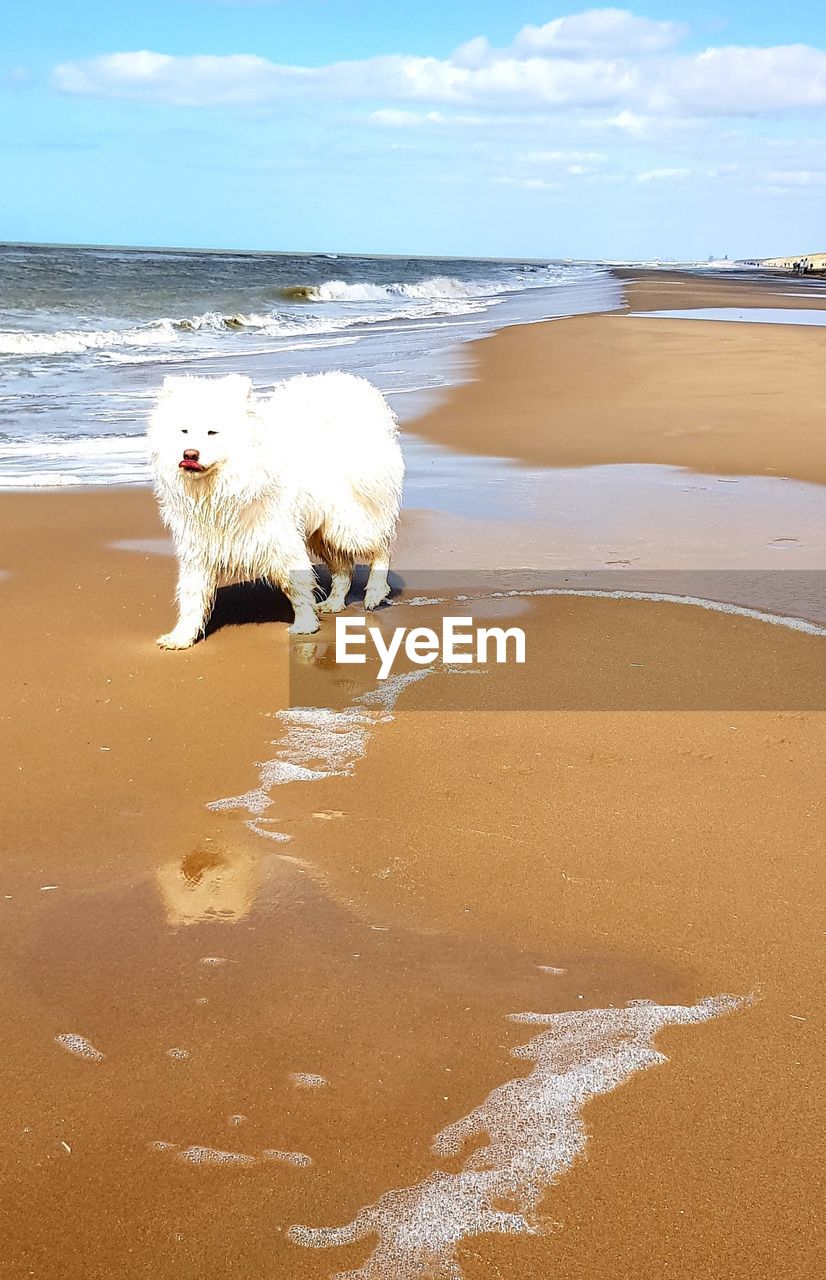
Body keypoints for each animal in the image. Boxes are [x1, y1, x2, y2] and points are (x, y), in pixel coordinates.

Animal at [149, 371, 404, 650]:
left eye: (212, 432)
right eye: (183, 431)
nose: (190, 454)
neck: (220, 491)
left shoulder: (280, 539)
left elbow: (297, 585)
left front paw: (305, 625)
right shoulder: (199, 548)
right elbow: (192, 596)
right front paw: (181, 637)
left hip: (347, 524)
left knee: (381, 546)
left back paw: (375, 592)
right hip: (322, 532)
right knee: (344, 568)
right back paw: (334, 603)